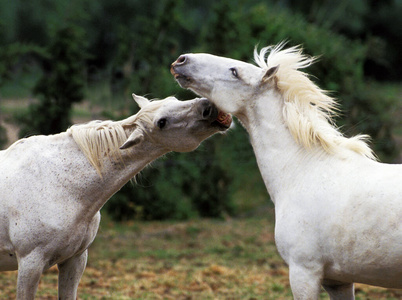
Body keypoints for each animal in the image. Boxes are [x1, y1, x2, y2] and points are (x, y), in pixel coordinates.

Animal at [0, 94, 229, 300]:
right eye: (161, 122)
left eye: (174, 99)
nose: (209, 106)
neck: (61, 184)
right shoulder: (30, 264)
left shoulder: (75, 260)